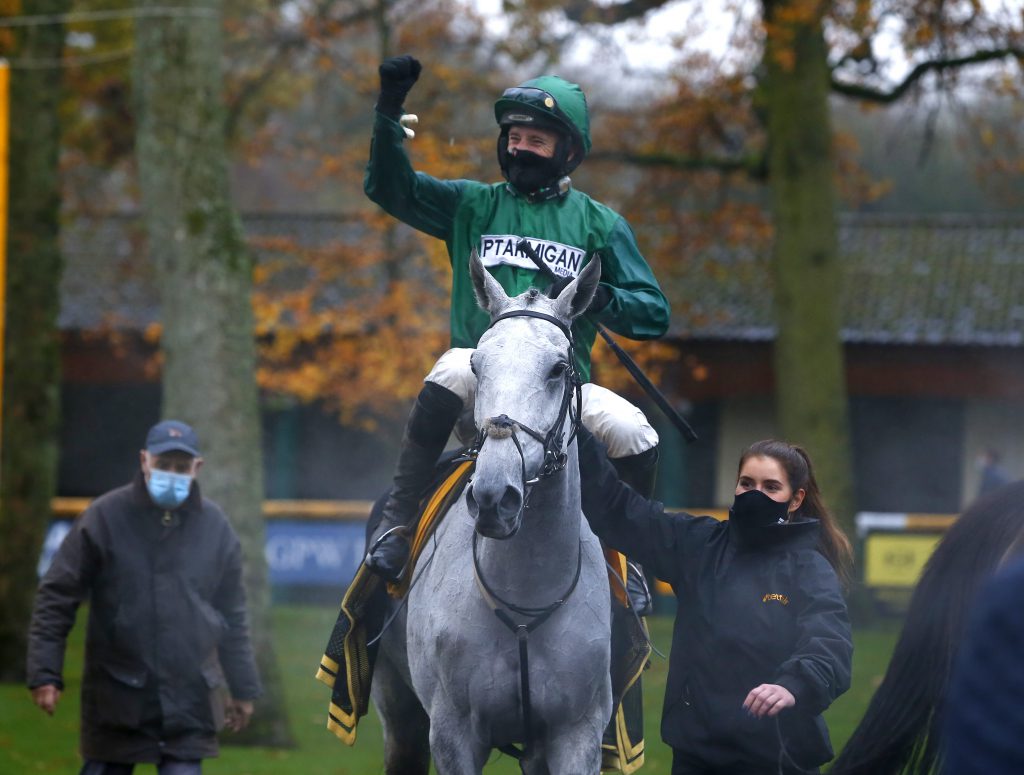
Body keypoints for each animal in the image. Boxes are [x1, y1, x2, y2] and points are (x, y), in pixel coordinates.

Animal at [372, 249, 610, 773]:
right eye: (478, 366)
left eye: (557, 369)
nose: (494, 496)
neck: (526, 593)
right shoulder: (453, 734)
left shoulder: (577, 735)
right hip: (399, 711)